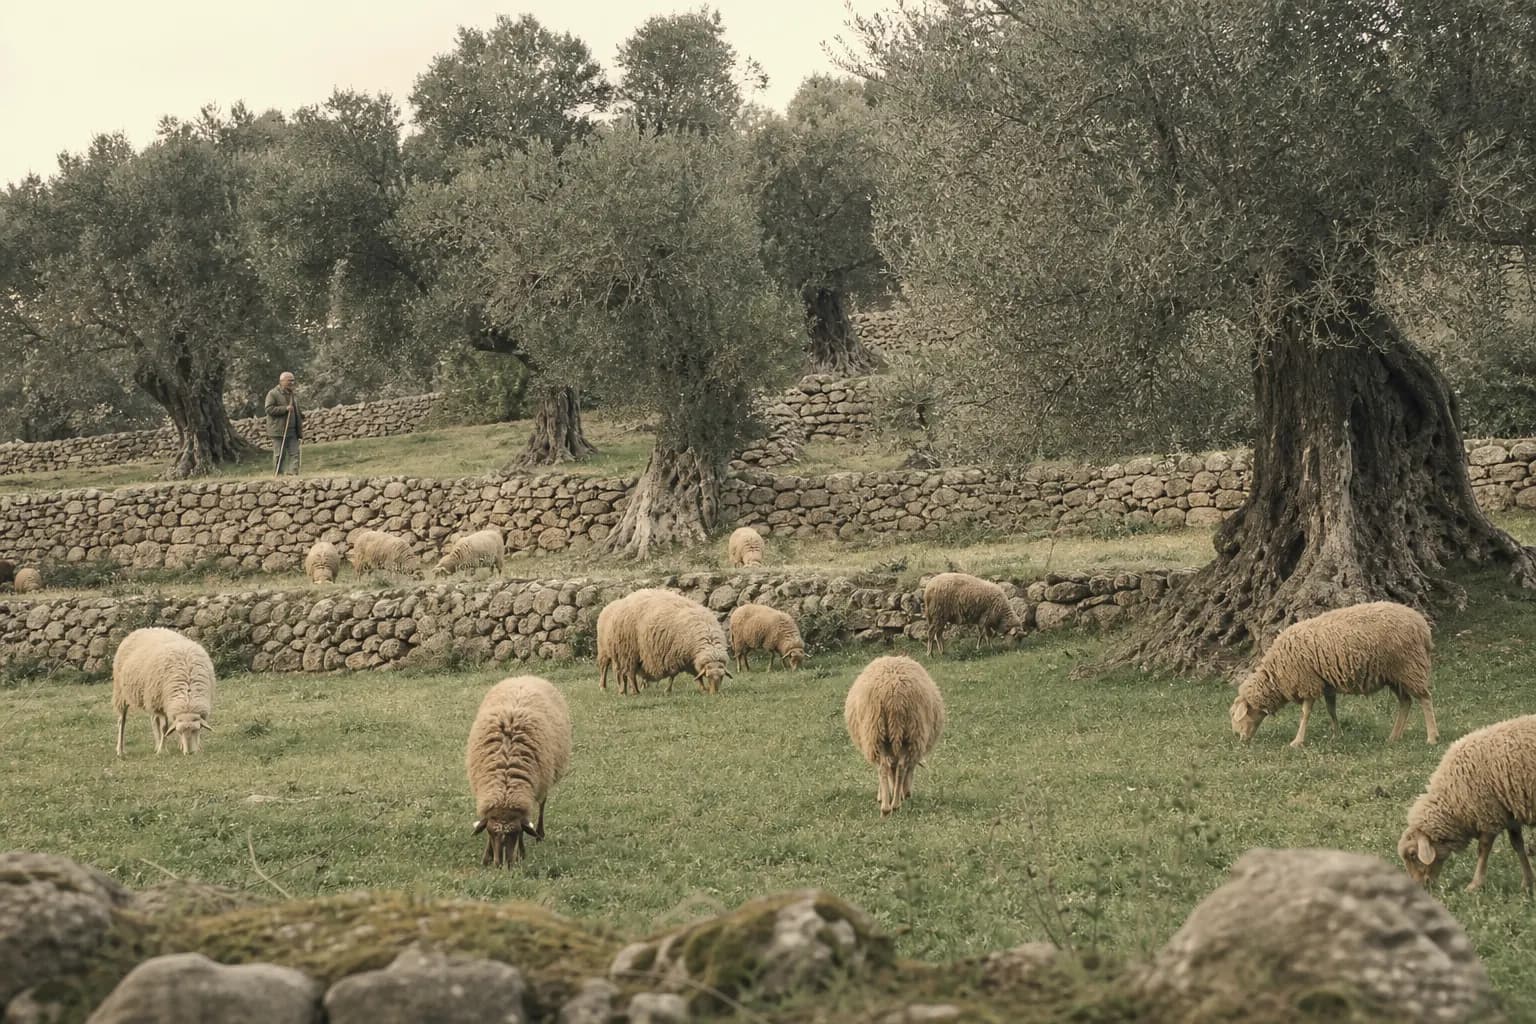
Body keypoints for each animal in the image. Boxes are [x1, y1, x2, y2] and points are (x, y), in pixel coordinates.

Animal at [112, 627, 216, 757]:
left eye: (196, 730)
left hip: (150, 696)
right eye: (179, 732)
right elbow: (164, 728)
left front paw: (189, 746)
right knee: (122, 721)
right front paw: (163, 750)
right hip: (122, 692)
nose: (190, 753)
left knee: (153, 720)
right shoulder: (161, 704)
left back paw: (156, 744)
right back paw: (120, 750)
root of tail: (143, 629)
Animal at [466, 675, 572, 867]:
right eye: (491, 833)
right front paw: (487, 857)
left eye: (514, 833)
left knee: (542, 805)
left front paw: (519, 855)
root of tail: (525, 676)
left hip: (544, 780)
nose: (502, 865)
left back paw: (540, 834)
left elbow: (525, 827)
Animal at [844, 655, 946, 816]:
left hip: (877, 733)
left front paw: (881, 796)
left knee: (884, 767)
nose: (908, 794)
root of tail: (894, 696)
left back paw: (886, 808)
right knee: (900, 767)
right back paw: (895, 805)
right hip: (908, 734)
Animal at [1228, 601, 1437, 749]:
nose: (1239, 739)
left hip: (1410, 666)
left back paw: (1432, 737)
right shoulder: (1326, 683)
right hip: (1394, 674)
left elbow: (1305, 713)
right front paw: (1337, 735)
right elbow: (1331, 709)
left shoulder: (1308, 681)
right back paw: (1394, 737)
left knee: (1425, 698)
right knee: (1406, 702)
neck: (1276, 675)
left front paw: (1297, 741)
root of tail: (1422, 626)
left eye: (1237, 716)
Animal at [1398, 714, 1536, 894]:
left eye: (1413, 854)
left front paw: (1475, 884)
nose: (1418, 887)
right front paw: (1527, 881)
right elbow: (1517, 845)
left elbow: (1483, 849)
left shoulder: (1487, 814)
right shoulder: (1508, 811)